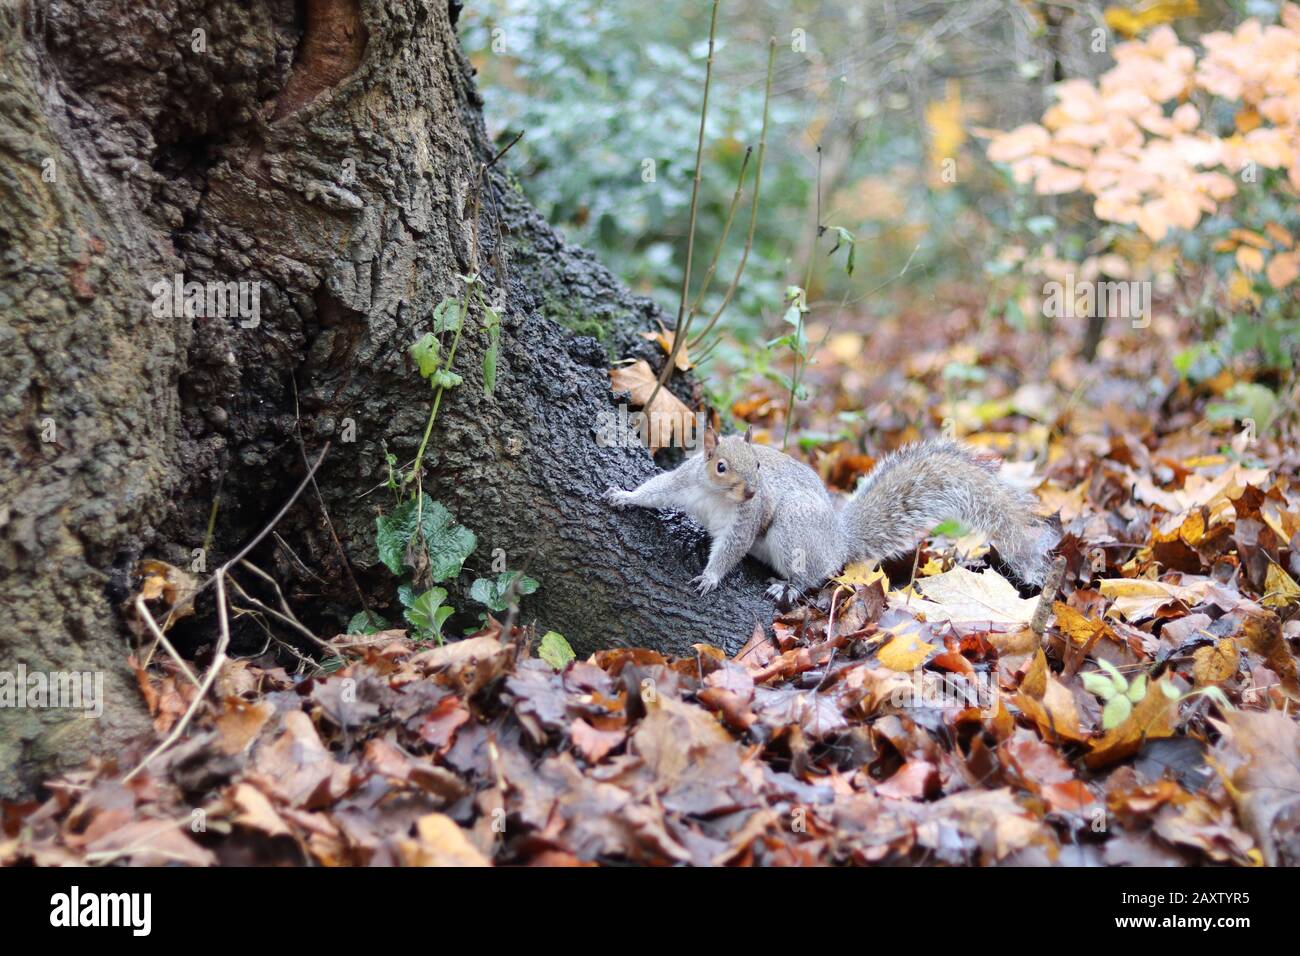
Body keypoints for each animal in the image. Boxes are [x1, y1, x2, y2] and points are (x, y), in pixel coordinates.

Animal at [604, 426, 1057, 599]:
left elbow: (732, 548)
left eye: (759, 465)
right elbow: (655, 491)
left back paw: (789, 587)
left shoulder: (747, 519)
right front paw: (623, 496)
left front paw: (711, 577)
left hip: (795, 527)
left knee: (812, 574)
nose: (752, 490)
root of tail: (839, 542)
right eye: (720, 466)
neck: (720, 498)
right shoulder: (685, 482)